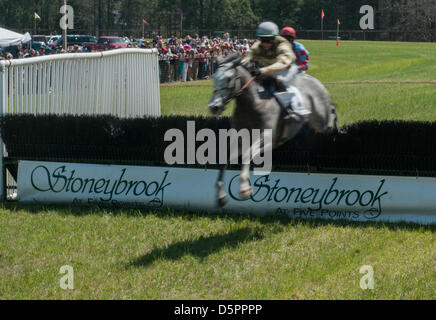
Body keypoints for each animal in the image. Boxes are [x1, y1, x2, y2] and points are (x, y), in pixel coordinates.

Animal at [208, 54, 338, 209]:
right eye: (214, 77)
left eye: (229, 78)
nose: (214, 107)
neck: (251, 105)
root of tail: (313, 79)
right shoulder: (238, 139)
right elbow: (225, 158)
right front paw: (220, 196)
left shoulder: (268, 139)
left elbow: (247, 155)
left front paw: (245, 188)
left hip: (320, 118)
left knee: (331, 112)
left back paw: (336, 130)